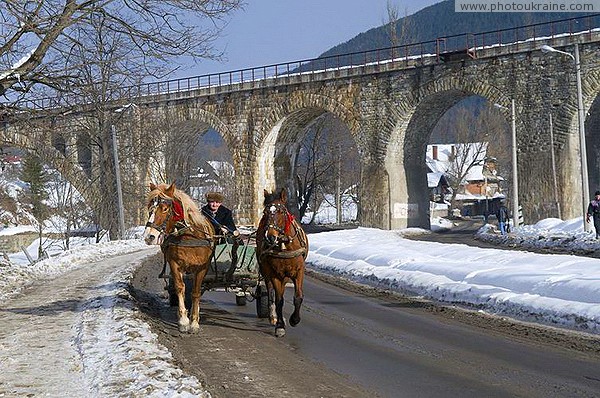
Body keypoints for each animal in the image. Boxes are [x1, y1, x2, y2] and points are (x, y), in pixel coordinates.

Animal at [142, 183, 214, 332]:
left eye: (164, 209)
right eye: (150, 208)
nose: (149, 237)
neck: (188, 236)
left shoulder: (202, 268)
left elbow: (196, 292)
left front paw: (194, 321)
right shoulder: (175, 264)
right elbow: (180, 287)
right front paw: (183, 320)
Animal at [255, 188, 310, 338]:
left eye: (281, 211)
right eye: (265, 213)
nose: (270, 236)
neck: (284, 244)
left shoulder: (299, 272)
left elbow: (298, 297)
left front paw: (294, 319)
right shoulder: (275, 274)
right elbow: (279, 299)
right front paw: (279, 326)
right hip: (266, 271)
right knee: (270, 291)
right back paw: (273, 316)